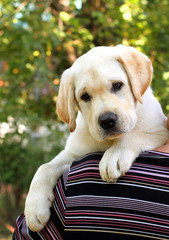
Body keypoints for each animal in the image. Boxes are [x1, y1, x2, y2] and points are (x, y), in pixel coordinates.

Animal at [24, 44, 168, 231]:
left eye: (117, 85)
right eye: (85, 96)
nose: (107, 120)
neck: (108, 142)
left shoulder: (159, 131)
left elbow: (133, 134)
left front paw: (114, 156)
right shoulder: (74, 153)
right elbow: (45, 167)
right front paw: (33, 208)